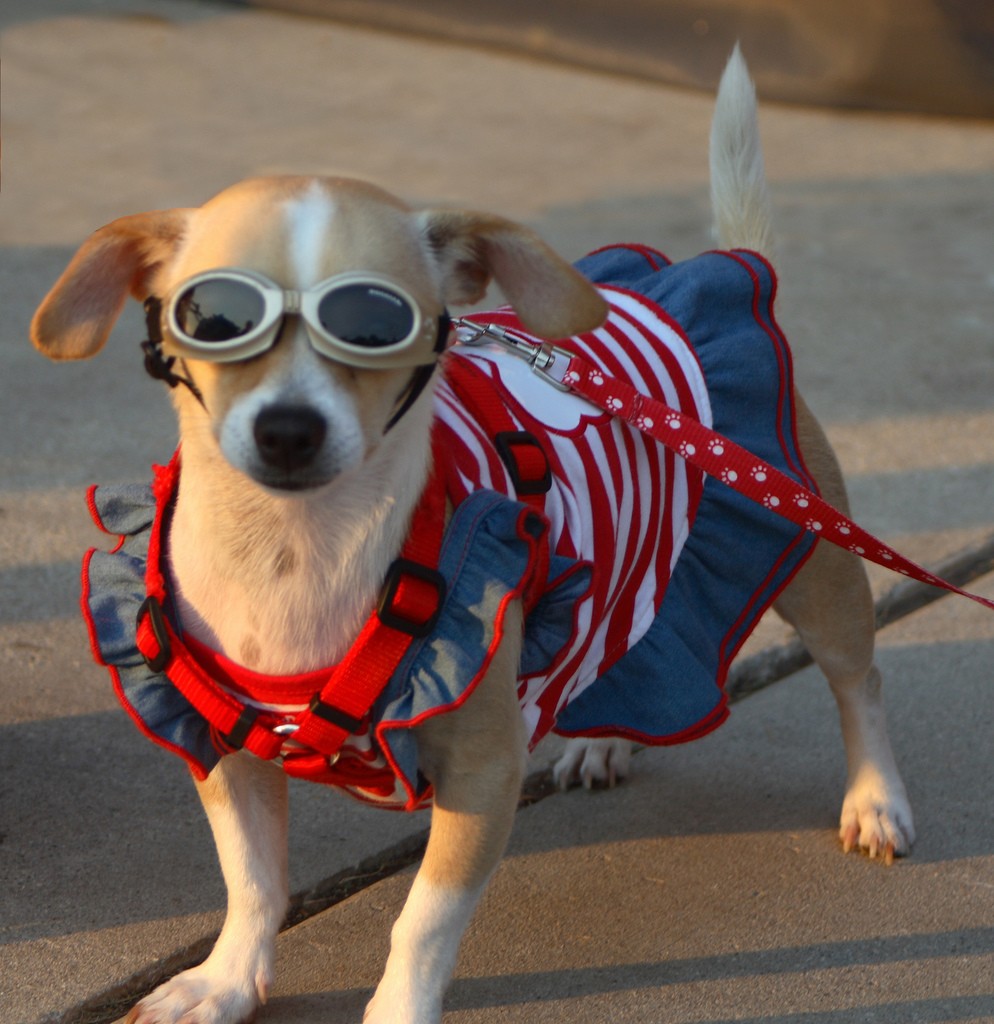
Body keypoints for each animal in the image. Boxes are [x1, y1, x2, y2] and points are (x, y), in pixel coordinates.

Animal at [29, 48, 917, 1024]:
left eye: (378, 324)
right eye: (212, 318)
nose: (289, 428)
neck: (296, 550)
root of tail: (714, 268)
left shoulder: (484, 774)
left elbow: (421, 920)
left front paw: (397, 1010)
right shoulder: (225, 752)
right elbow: (253, 881)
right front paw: (226, 983)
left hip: (818, 569)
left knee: (859, 681)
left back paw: (876, 800)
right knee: (628, 648)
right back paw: (603, 738)